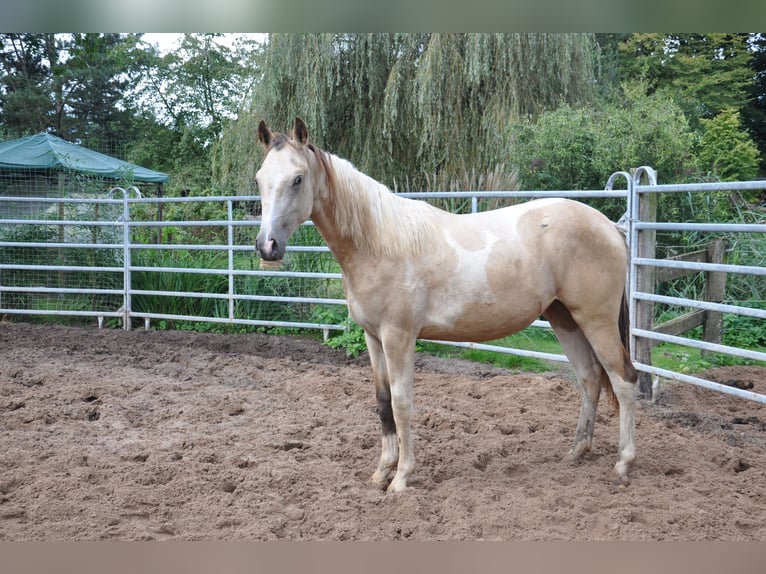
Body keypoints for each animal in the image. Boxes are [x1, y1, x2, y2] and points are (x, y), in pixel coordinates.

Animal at [255, 117, 638, 493]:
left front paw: (401, 477)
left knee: (623, 381)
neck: (379, 243)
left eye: (298, 179)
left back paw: (623, 463)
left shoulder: (398, 337)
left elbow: (402, 403)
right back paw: (577, 451)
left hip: (596, 320)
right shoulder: (373, 338)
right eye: (259, 179)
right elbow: (383, 402)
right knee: (590, 379)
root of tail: (609, 226)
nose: (267, 246)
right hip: (565, 319)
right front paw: (381, 472)